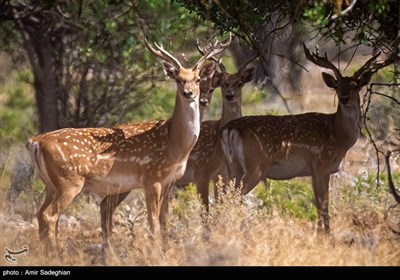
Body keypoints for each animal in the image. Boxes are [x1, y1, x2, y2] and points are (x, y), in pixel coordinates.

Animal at [25, 38, 231, 258]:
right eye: (178, 79)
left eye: (198, 79)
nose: (189, 93)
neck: (175, 144)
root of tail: (35, 142)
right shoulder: (151, 178)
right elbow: (153, 221)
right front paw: (156, 255)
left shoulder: (169, 181)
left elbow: (164, 219)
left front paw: (165, 251)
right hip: (69, 181)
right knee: (50, 216)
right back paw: (56, 255)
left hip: (51, 184)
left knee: (41, 214)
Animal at [220, 45, 396, 234]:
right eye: (337, 85)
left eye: (355, 86)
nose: (344, 98)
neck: (339, 135)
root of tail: (229, 130)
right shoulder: (322, 165)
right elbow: (324, 204)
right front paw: (327, 235)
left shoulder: (312, 171)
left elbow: (318, 203)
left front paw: (319, 233)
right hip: (255, 166)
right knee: (234, 196)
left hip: (232, 166)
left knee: (224, 195)